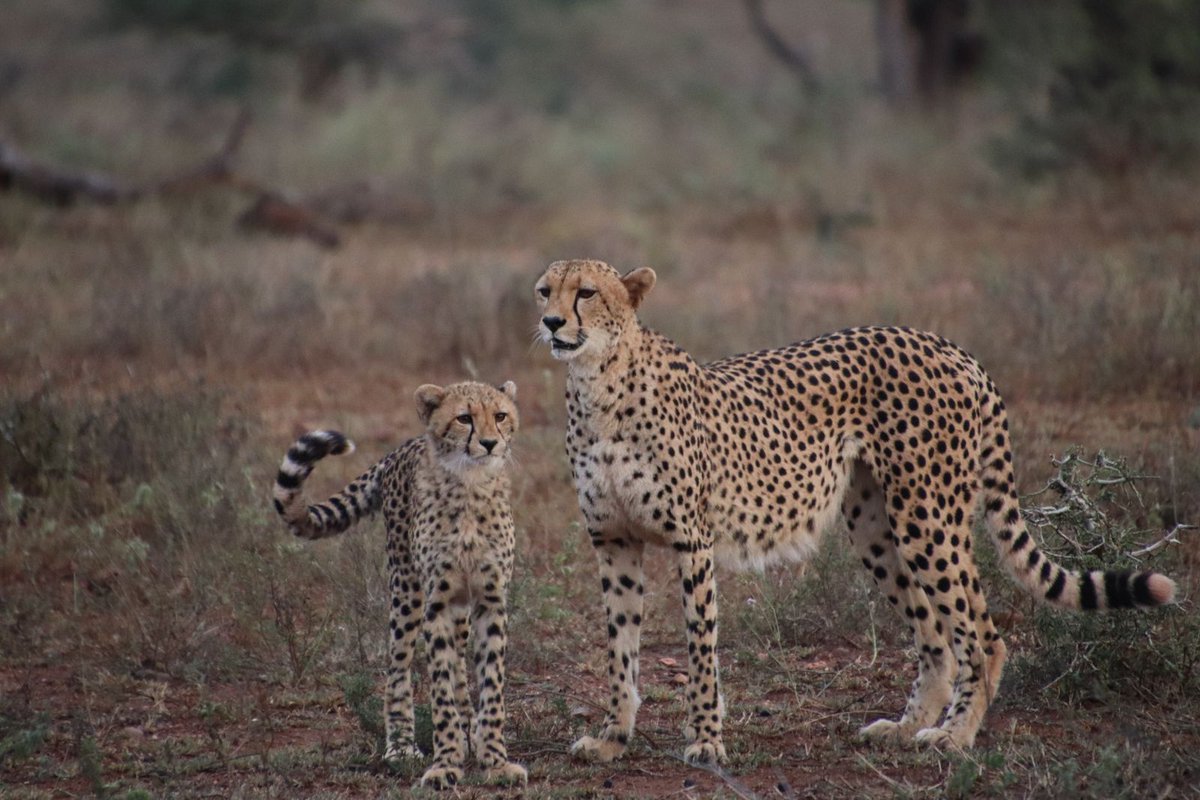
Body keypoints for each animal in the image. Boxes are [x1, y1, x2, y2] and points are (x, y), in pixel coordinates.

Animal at [272, 380, 528, 789]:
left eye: (501, 415)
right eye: (464, 418)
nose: (489, 443)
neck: (470, 484)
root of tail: (403, 445)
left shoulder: (490, 600)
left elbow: (490, 686)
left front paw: (494, 761)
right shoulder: (436, 603)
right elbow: (439, 690)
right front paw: (445, 763)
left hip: (458, 607)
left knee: (459, 664)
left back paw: (468, 732)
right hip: (407, 591)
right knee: (398, 666)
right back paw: (402, 745)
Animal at [534, 258, 1177, 763]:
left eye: (585, 292)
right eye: (544, 290)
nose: (550, 322)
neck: (598, 386)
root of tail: (949, 345)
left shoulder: (693, 541)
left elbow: (699, 646)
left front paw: (708, 741)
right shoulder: (613, 542)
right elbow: (620, 649)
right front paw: (613, 738)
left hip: (927, 516)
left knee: (981, 634)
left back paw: (955, 736)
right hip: (876, 527)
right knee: (936, 637)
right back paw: (907, 727)